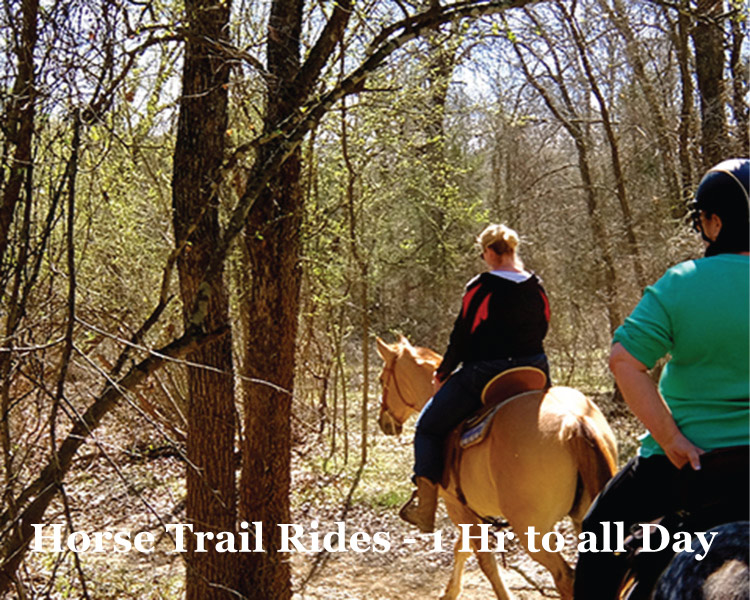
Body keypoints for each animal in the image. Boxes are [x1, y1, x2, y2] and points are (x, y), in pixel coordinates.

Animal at [376, 336, 616, 596]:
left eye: (381, 379)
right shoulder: (472, 510)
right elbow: (462, 548)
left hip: (533, 531)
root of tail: (574, 421)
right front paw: (450, 592)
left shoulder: (457, 506)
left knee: (564, 577)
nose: (383, 422)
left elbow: (484, 560)